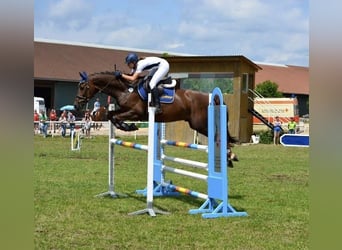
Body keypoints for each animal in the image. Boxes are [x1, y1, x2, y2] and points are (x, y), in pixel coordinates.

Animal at [73, 71, 238, 167]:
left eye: (82, 87)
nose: (76, 105)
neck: (126, 90)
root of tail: (214, 98)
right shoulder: (126, 110)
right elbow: (111, 115)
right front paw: (128, 126)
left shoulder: (136, 113)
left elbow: (115, 117)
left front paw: (129, 126)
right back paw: (229, 157)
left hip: (200, 125)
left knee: (220, 136)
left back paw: (230, 156)